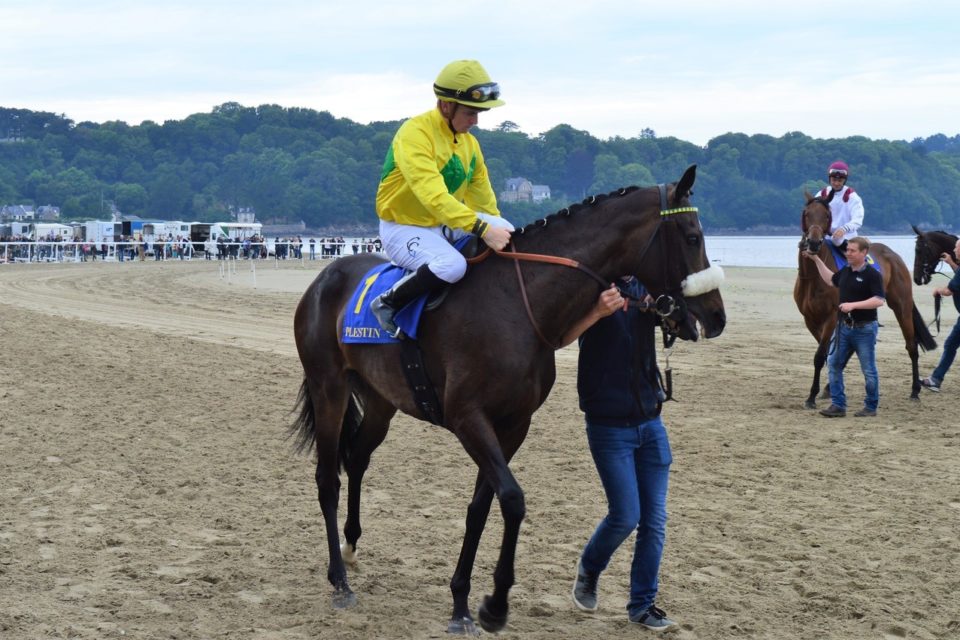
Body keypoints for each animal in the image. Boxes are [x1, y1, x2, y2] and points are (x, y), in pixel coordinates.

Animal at [288, 165, 724, 636]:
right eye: (692, 236)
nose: (716, 316)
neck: (518, 302)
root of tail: (324, 277)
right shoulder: (468, 418)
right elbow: (513, 499)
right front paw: (495, 604)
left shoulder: (514, 424)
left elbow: (482, 506)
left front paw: (461, 601)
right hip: (328, 388)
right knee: (327, 479)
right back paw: (339, 579)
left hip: (381, 401)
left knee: (357, 459)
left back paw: (351, 546)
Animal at [796, 192, 936, 408]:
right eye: (806, 213)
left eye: (827, 215)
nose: (813, 243)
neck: (814, 277)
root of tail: (894, 255)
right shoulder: (810, 319)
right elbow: (829, 353)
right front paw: (827, 388)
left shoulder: (831, 316)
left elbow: (821, 355)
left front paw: (812, 396)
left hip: (901, 305)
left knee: (911, 345)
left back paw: (915, 390)